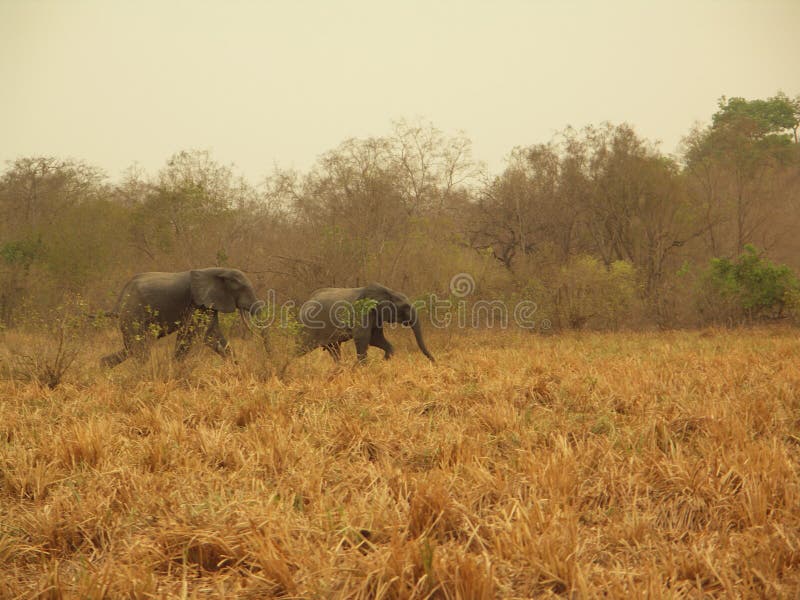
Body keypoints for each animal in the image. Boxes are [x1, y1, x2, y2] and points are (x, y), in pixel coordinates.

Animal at [100, 268, 256, 370]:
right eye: (243, 289)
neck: (219, 270)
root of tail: (119, 301)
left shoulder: (207, 304)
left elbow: (211, 333)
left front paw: (236, 368)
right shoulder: (195, 302)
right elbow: (191, 333)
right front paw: (175, 368)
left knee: (134, 347)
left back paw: (104, 367)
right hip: (133, 314)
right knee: (140, 349)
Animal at [298, 284, 438, 364]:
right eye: (405, 307)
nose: (434, 362)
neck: (388, 292)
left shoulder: (376, 316)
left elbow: (375, 338)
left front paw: (383, 361)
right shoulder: (362, 311)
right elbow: (362, 337)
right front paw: (362, 367)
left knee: (334, 350)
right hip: (310, 328)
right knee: (301, 349)